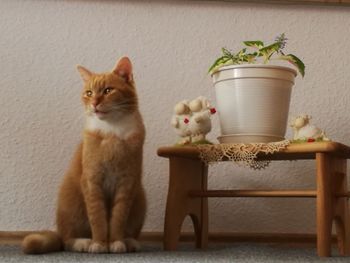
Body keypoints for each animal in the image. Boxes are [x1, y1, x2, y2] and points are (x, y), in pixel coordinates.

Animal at [21, 56, 146, 255]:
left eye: (108, 90)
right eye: (88, 93)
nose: (94, 103)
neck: (112, 131)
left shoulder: (127, 182)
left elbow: (118, 218)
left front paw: (116, 242)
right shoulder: (91, 181)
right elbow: (98, 218)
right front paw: (100, 243)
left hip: (140, 198)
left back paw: (130, 241)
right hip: (71, 200)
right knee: (66, 240)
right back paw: (83, 242)